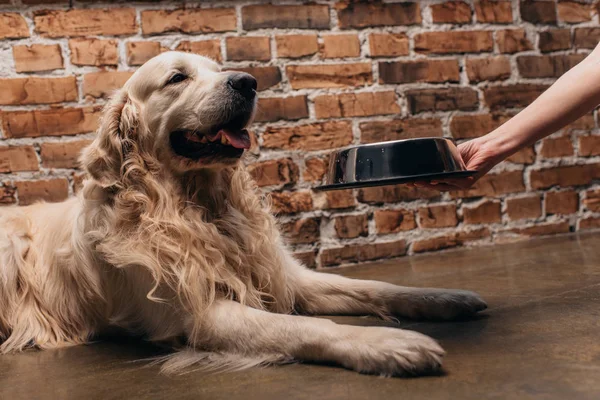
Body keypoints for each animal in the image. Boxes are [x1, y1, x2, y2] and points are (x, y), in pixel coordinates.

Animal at [0, 51, 488, 376]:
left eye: (219, 69)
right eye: (177, 77)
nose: (248, 82)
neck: (201, 206)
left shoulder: (287, 277)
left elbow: (375, 287)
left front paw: (444, 298)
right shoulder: (201, 314)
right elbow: (304, 328)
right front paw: (385, 343)